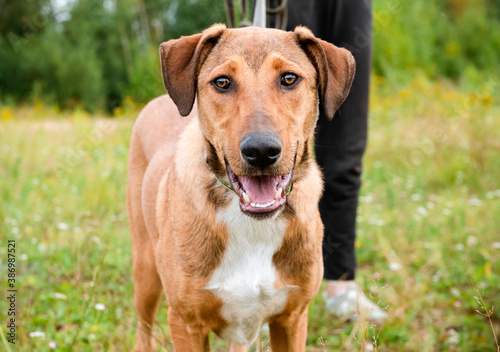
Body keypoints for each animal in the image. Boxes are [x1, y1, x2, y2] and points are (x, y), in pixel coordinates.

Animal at [128, 23, 356, 350]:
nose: (261, 151)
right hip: (145, 269)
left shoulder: (292, 318)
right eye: (222, 82)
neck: (252, 226)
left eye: (289, 78)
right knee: (143, 328)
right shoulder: (185, 323)